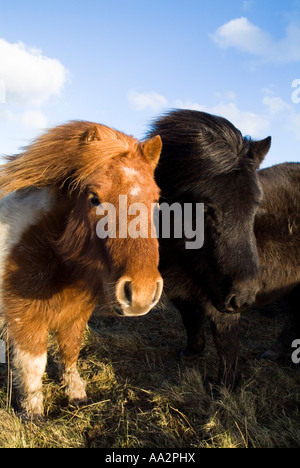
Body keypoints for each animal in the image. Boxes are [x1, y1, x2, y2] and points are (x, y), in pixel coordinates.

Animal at [0, 119, 163, 416]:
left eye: (155, 199)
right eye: (94, 198)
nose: (142, 294)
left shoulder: (76, 313)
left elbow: (71, 350)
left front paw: (75, 392)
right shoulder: (23, 318)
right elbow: (33, 364)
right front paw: (33, 411)